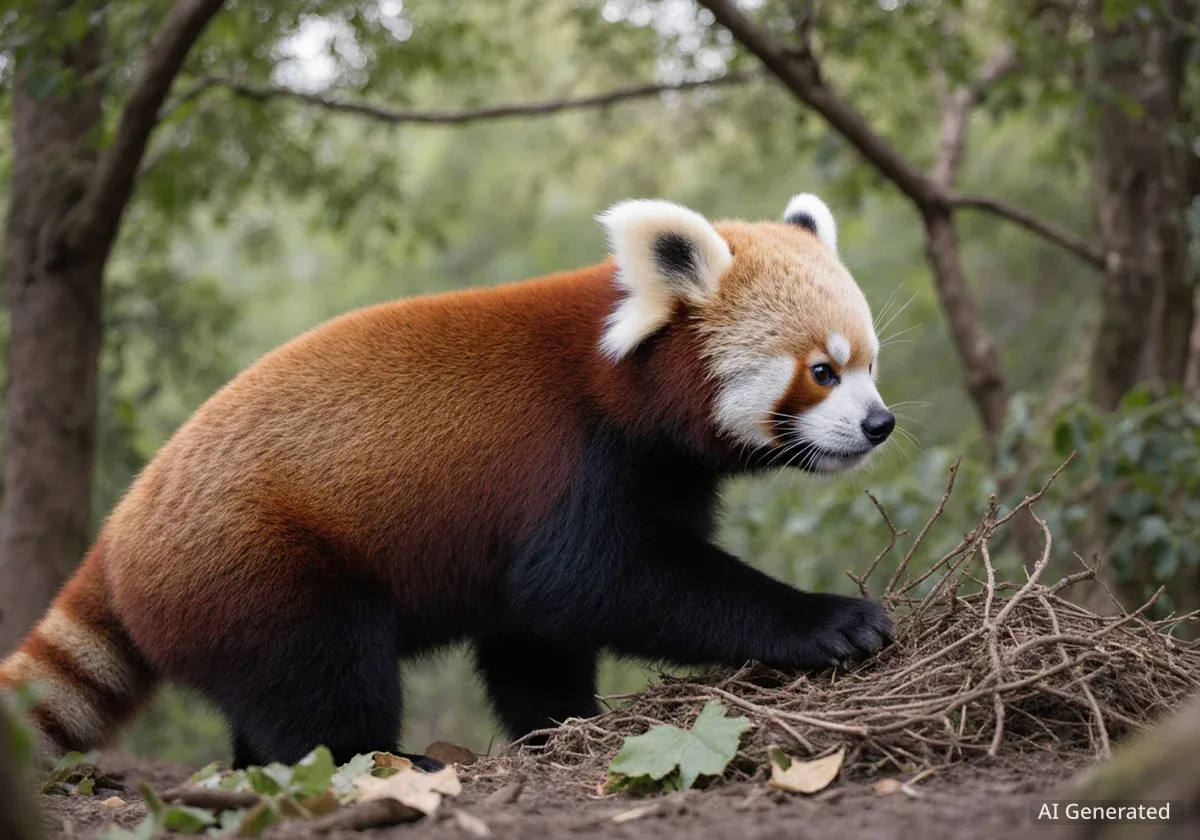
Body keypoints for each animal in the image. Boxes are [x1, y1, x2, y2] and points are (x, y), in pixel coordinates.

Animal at [0, 192, 895, 771]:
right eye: (822, 371)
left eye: (870, 364)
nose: (879, 424)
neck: (625, 381)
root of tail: (118, 533)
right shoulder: (576, 461)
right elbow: (594, 583)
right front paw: (829, 621)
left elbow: (534, 634)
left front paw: (564, 726)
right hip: (259, 567)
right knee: (322, 678)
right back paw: (383, 761)